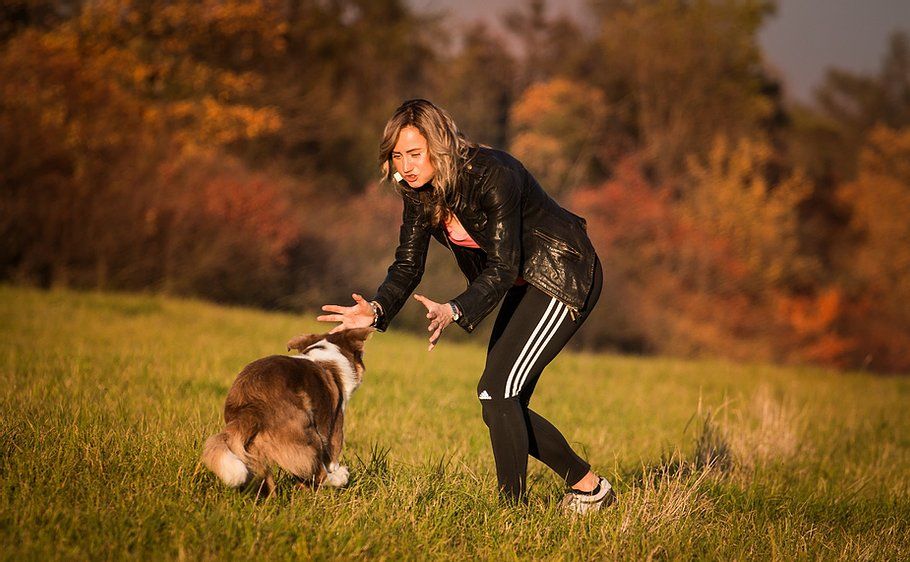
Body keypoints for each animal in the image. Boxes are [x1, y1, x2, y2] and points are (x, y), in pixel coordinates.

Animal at [202, 327, 372, 495]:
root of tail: (251, 408)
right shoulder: (334, 429)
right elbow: (330, 460)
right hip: (308, 433)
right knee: (317, 472)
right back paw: (340, 477)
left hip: (253, 449)